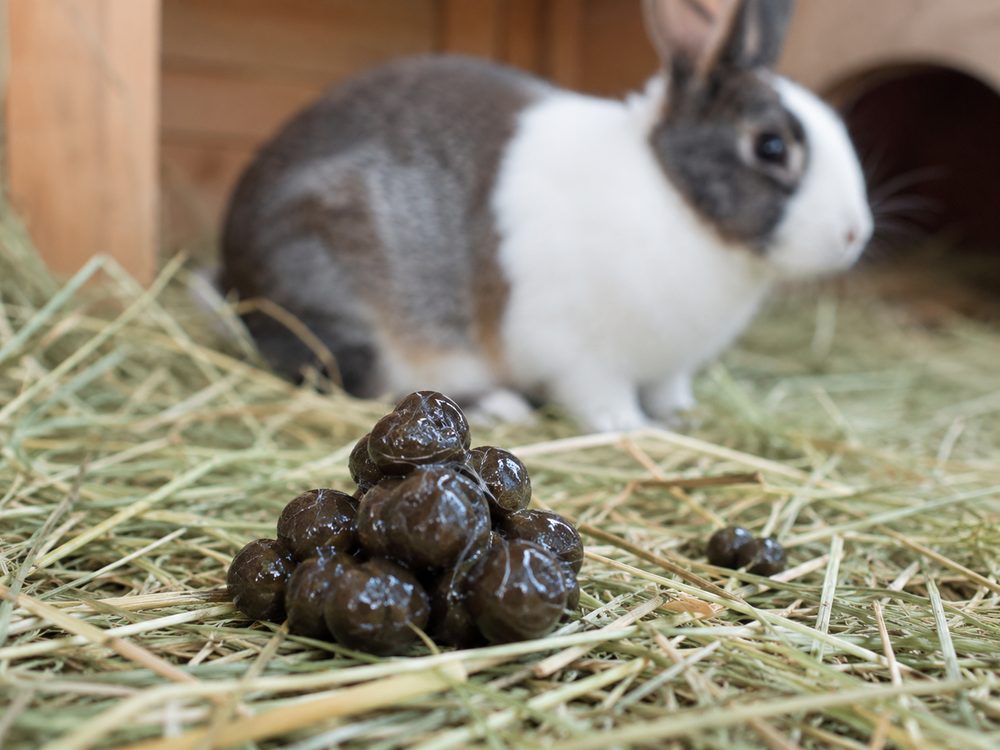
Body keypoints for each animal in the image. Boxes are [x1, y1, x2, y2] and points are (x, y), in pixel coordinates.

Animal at [220, 0, 872, 432]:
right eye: (770, 147)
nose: (854, 234)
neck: (673, 195)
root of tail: (235, 282)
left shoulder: (670, 367)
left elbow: (669, 391)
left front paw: (683, 415)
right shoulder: (585, 359)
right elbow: (605, 403)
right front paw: (639, 431)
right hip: (346, 304)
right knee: (360, 382)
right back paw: (499, 406)